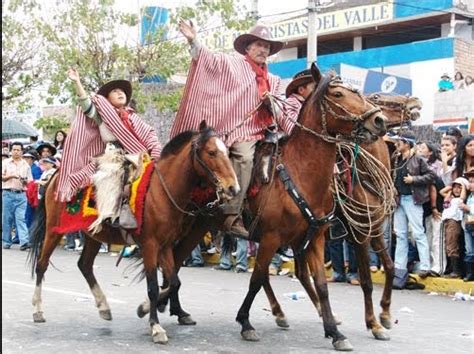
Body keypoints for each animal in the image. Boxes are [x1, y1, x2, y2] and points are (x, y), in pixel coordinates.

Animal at [27, 121, 239, 342]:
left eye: (227, 152)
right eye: (212, 152)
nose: (233, 188)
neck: (161, 191)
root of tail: (56, 176)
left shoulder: (165, 246)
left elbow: (173, 282)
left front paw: (144, 308)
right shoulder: (150, 245)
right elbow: (153, 286)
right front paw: (155, 326)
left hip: (94, 234)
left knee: (84, 265)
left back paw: (104, 307)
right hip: (53, 230)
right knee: (41, 265)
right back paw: (38, 310)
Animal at [141, 64, 388, 352]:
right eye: (337, 94)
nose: (379, 120)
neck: (301, 172)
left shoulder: (316, 238)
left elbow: (322, 284)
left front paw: (335, 332)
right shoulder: (273, 238)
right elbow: (257, 278)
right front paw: (245, 322)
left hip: (198, 227)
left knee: (177, 261)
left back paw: (176, 310)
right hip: (187, 227)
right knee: (175, 261)